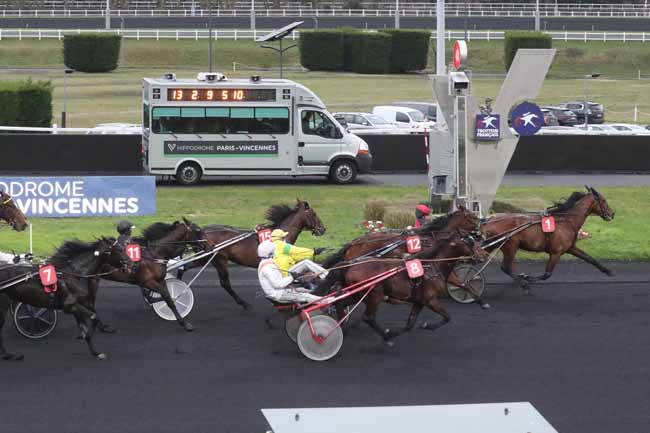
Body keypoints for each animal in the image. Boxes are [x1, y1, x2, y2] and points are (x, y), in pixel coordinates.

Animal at [0, 237, 132, 361]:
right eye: (119, 249)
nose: (131, 263)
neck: (73, 274)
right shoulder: (70, 305)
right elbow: (94, 317)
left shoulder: (76, 307)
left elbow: (86, 326)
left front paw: (95, 351)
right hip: (3, 304)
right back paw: (9, 355)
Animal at [177, 199, 326, 309]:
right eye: (313, 213)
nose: (323, 229)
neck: (279, 235)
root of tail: (203, 232)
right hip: (220, 260)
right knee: (225, 283)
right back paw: (243, 303)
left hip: (206, 258)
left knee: (184, 267)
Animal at [326, 231, 487, 347]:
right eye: (470, 241)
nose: (484, 254)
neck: (432, 265)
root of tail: (350, 264)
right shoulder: (430, 300)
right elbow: (448, 317)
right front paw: (427, 325)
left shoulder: (419, 301)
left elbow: (410, 324)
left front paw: (394, 332)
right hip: (374, 295)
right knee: (368, 317)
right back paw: (385, 338)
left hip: (358, 294)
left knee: (339, 302)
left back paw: (342, 328)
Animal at [481, 185, 615, 290]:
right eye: (603, 200)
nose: (612, 214)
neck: (567, 221)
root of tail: (489, 220)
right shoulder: (556, 252)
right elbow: (547, 274)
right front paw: (527, 277)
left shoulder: (570, 248)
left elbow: (589, 258)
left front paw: (608, 271)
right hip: (510, 245)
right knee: (506, 267)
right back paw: (523, 284)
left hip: (493, 244)